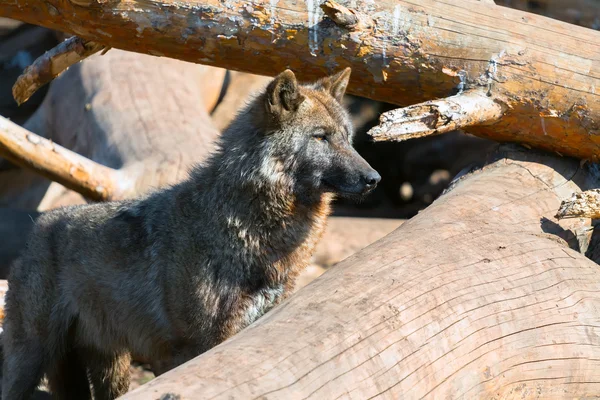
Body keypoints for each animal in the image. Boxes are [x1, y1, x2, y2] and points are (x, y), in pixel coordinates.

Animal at [1, 67, 380, 398]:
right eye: (321, 137)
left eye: (347, 138)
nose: (373, 178)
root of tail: (38, 228)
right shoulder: (194, 345)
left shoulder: (255, 327)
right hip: (32, 359)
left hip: (112, 367)